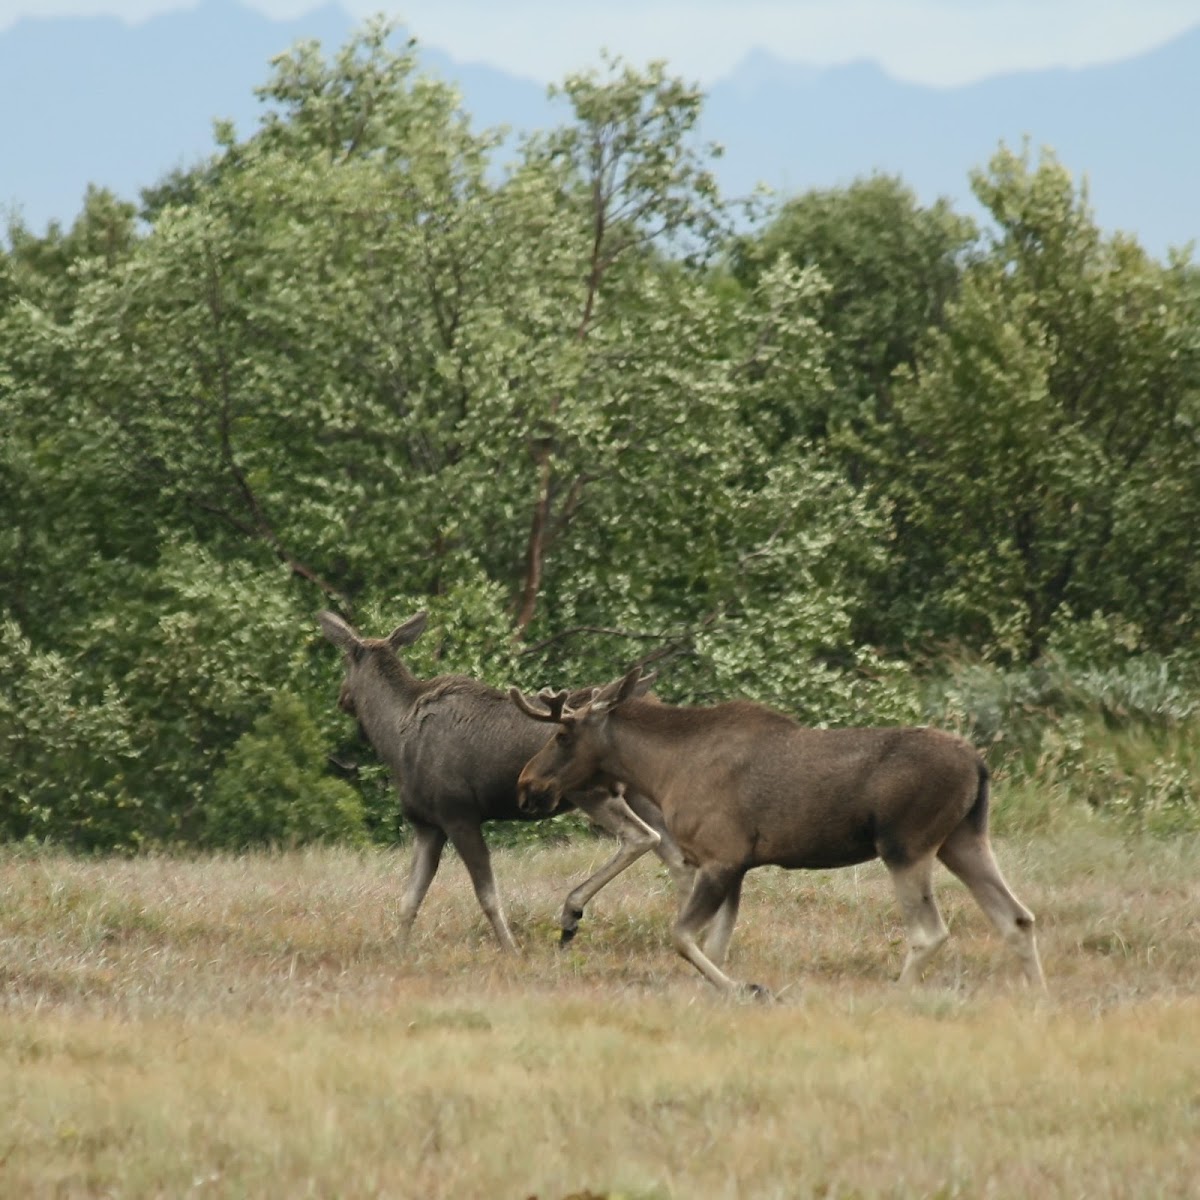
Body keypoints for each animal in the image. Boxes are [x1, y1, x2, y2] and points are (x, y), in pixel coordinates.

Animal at [319, 614, 691, 950]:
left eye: (345, 661)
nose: (341, 698)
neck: (393, 737)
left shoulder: (459, 815)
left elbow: (487, 895)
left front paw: (511, 949)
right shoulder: (427, 825)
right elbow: (409, 898)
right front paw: (398, 952)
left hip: (592, 792)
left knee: (642, 837)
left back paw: (571, 914)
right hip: (642, 795)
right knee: (678, 859)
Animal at [511, 672, 1046, 998]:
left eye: (562, 735)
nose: (526, 783)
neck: (661, 771)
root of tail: (979, 764)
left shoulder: (722, 856)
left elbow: (682, 937)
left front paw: (746, 989)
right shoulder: (735, 864)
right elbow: (713, 944)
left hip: (906, 845)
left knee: (929, 932)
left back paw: (898, 995)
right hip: (964, 839)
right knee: (1017, 917)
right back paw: (1036, 999)